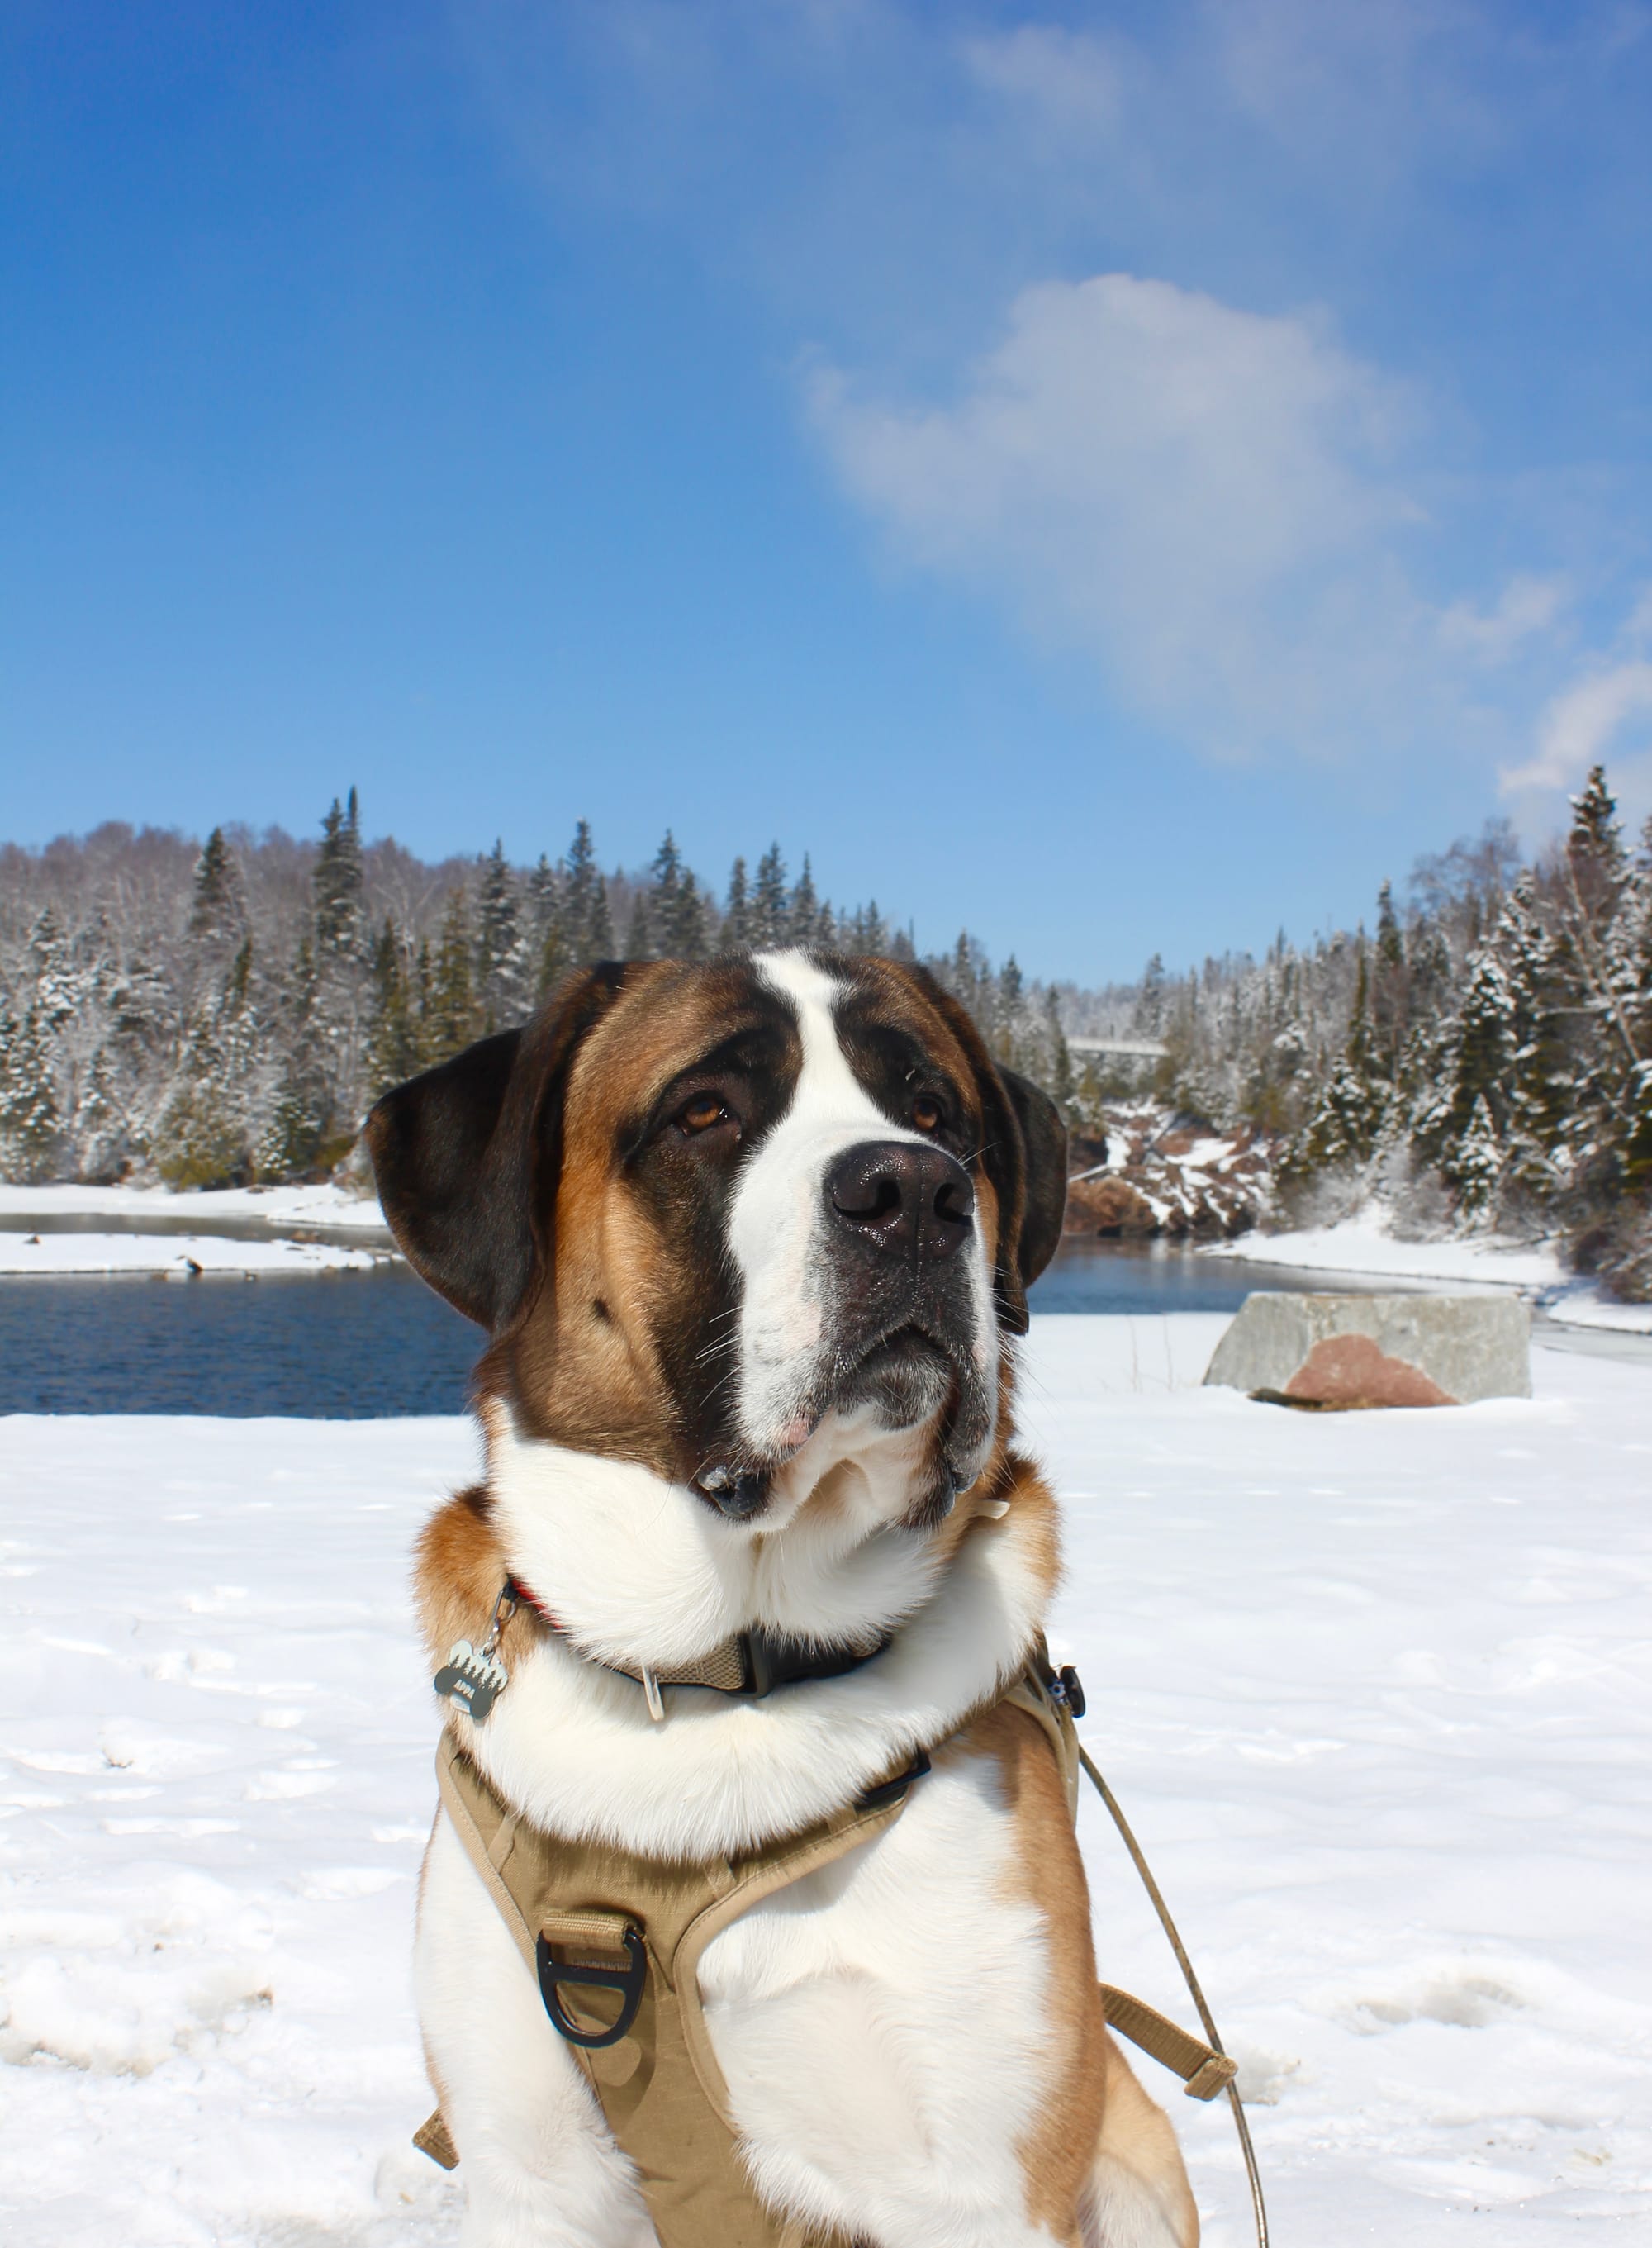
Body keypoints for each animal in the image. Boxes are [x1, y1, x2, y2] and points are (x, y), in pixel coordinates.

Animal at [363, 948, 1204, 2248]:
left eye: (935, 1112)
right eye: (704, 1112)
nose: (914, 1190)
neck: (729, 1673)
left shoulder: (985, 2183)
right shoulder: (529, 2170)